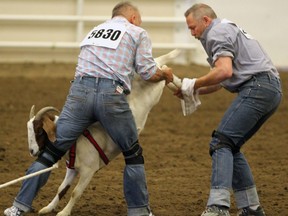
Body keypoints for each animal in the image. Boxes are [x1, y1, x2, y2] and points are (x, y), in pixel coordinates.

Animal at [27, 49, 181, 215]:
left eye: (39, 131)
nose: (32, 151)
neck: (77, 142)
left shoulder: (88, 170)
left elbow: (75, 192)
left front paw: (64, 212)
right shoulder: (72, 169)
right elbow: (61, 189)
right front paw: (48, 208)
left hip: (155, 89)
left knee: (164, 70)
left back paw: (177, 83)